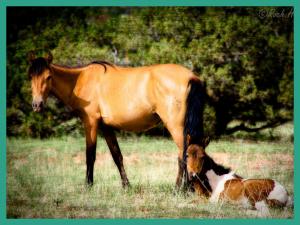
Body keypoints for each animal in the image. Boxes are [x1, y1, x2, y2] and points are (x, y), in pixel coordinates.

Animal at [28, 51, 205, 188]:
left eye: (48, 77)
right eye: (30, 76)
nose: (37, 105)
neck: (81, 80)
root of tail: (191, 77)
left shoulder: (91, 122)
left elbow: (90, 155)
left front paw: (88, 185)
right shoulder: (106, 126)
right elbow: (116, 155)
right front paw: (126, 186)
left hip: (176, 126)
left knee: (182, 156)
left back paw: (179, 189)